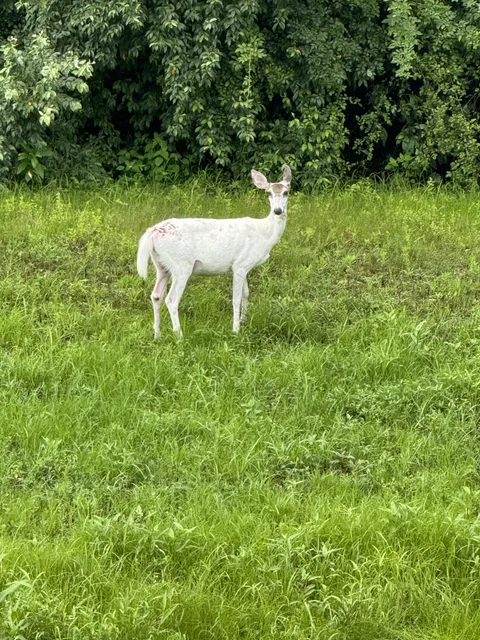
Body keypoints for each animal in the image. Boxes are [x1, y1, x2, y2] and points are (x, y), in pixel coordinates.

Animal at [136, 166, 292, 338]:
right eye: (268, 193)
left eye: (286, 192)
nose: (277, 210)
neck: (264, 234)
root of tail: (152, 232)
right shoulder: (240, 265)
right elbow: (236, 298)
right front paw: (236, 330)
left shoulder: (244, 265)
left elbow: (246, 293)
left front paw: (244, 321)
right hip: (181, 265)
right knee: (171, 299)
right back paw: (179, 336)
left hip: (162, 265)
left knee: (156, 295)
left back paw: (157, 335)